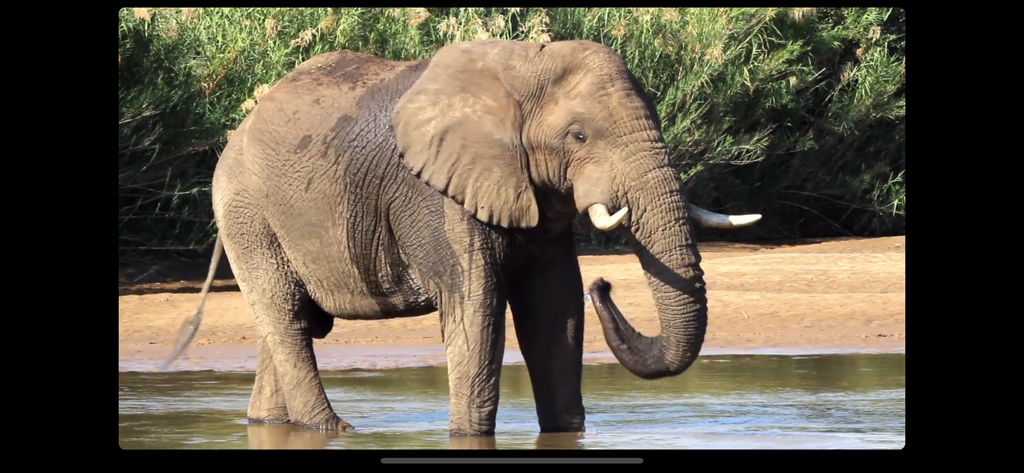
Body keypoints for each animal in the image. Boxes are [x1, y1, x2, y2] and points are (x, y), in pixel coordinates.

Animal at [160, 39, 762, 436]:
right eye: (578, 135)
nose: (606, 285)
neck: (522, 68)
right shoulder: (439, 196)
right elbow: (477, 309)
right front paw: (469, 436)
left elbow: (556, 310)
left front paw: (566, 433)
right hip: (247, 211)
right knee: (287, 318)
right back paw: (336, 430)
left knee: (289, 324)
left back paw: (270, 423)